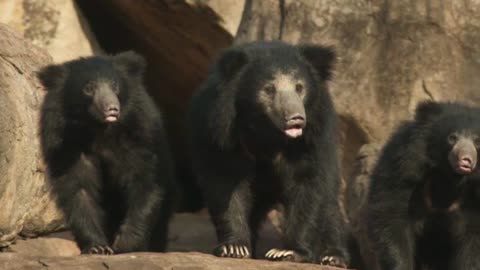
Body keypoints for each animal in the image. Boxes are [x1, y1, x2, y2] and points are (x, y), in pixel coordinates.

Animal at [37, 51, 175, 255]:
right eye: (88, 88)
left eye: (115, 85)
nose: (111, 108)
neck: (99, 129)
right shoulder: (66, 144)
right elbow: (79, 188)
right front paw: (98, 247)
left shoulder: (139, 134)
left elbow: (144, 180)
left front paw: (126, 243)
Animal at [188, 41, 348, 266]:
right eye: (269, 89)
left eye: (299, 87)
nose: (296, 118)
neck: (268, 132)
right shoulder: (219, 133)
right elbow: (225, 183)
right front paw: (235, 247)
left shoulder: (313, 137)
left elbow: (308, 184)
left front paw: (287, 251)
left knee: (330, 205)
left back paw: (332, 256)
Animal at [366, 101, 480, 270]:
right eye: (452, 138)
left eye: (477, 141)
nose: (466, 160)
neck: (449, 177)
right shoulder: (404, 168)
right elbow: (393, 216)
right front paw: (401, 265)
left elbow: (473, 237)